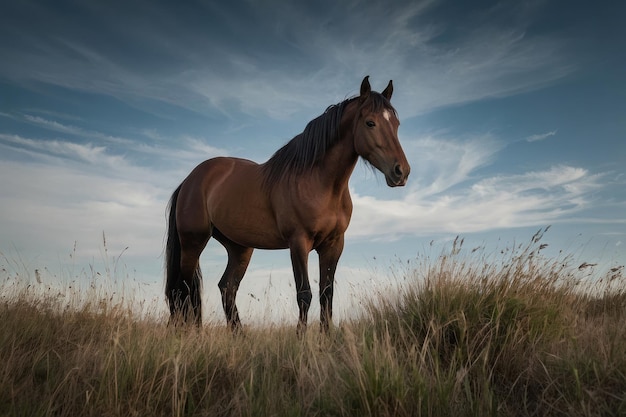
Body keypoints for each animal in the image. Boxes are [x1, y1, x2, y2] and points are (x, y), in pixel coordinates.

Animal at [165, 76, 410, 334]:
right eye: (370, 123)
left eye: (396, 124)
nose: (401, 172)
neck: (319, 182)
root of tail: (190, 179)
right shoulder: (298, 242)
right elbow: (304, 294)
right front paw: (301, 337)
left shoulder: (334, 245)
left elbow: (327, 294)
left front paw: (326, 337)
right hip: (193, 242)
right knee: (183, 289)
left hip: (239, 248)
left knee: (226, 288)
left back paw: (239, 336)